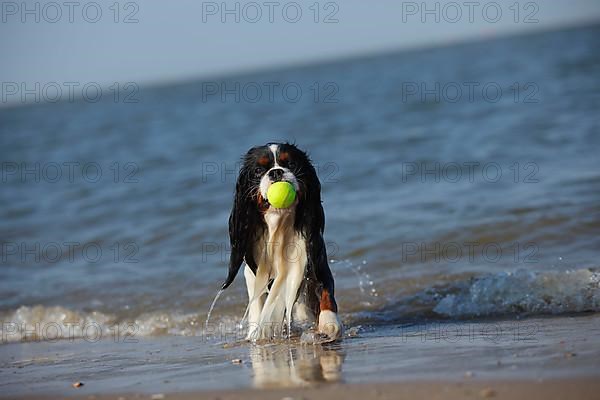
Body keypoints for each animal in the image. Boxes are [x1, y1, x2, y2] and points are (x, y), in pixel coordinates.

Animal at [220, 143, 342, 340]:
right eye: (258, 170)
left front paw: (329, 323)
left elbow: (325, 291)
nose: (276, 172)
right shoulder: (255, 272)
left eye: (291, 164)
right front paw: (258, 333)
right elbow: (259, 303)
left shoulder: (315, 259)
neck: (280, 223)